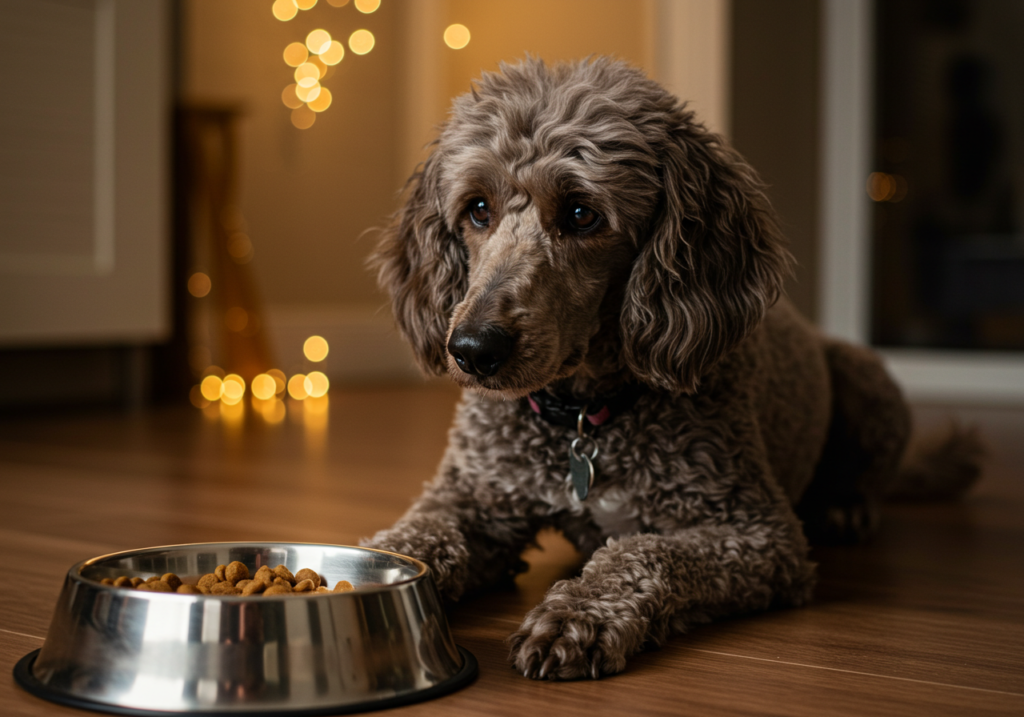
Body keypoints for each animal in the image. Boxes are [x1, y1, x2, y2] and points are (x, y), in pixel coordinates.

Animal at [364, 58, 978, 680]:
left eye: (582, 214)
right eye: (477, 209)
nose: (472, 349)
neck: (586, 416)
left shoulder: (759, 533)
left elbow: (645, 550)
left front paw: (578, 613)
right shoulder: (473, 500)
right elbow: (419, 536)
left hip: (865, 376)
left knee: (868, 475)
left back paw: (846, 507)